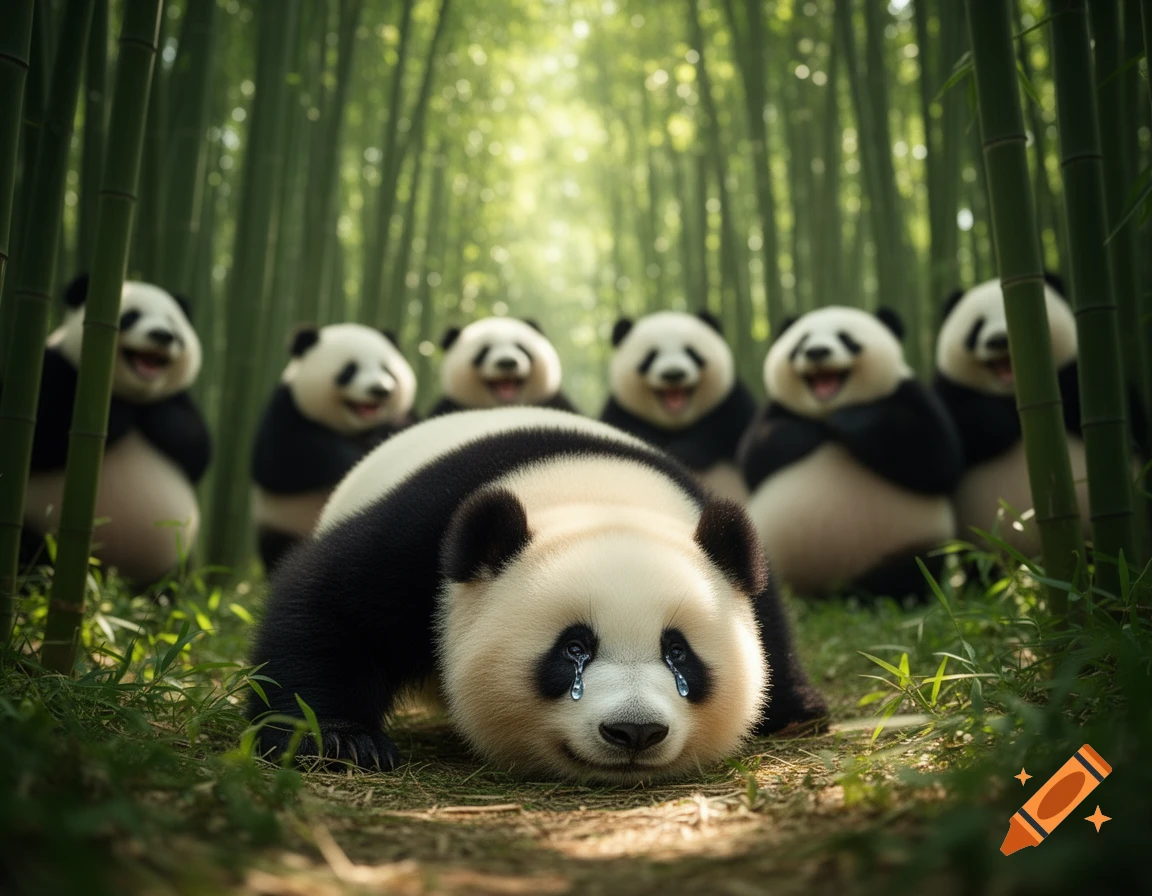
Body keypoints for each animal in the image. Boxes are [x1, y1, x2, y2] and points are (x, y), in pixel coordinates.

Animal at [18, 275, 211, 585]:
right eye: (131, 316)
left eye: (173, 323)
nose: (162, 335)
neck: (135, 393)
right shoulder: (53, 367)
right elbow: (41, 435)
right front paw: (114, 410)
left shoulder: (182, 399)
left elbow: (198, 451)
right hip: (43, 530)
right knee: (31, 554)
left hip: (177, 550)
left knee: (176, 577)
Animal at [248, 406, 828, 782]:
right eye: (573, 648)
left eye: (678, 651)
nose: (635, 731)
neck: (599, 498)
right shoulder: (423, 535)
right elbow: (331, 607)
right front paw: (339, 741)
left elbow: (770, 628)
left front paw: (796, 711)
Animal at [251, 323, 417, 573]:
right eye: (349, 370)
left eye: (387, 369)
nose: (379, 390)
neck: (357, 430)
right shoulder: (286, 406)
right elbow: (276, 462)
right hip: (283, 525)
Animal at [599, 311, 758, 503]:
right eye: (651, 356)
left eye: (691, 352)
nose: (673, 374)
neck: (675, 424)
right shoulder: (620, 412)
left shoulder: (733, 403)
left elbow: (726, 431)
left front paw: (685, 450)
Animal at [737, 306, 963, 601]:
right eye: (801, 342)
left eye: (845, 338)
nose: (816, 352)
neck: (827, 407)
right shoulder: (773, 410)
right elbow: (753, 458)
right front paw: (809, 430)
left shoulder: (907, 392)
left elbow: (939, 459)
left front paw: (845, 420)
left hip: (912, 544)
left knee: (913, 569)